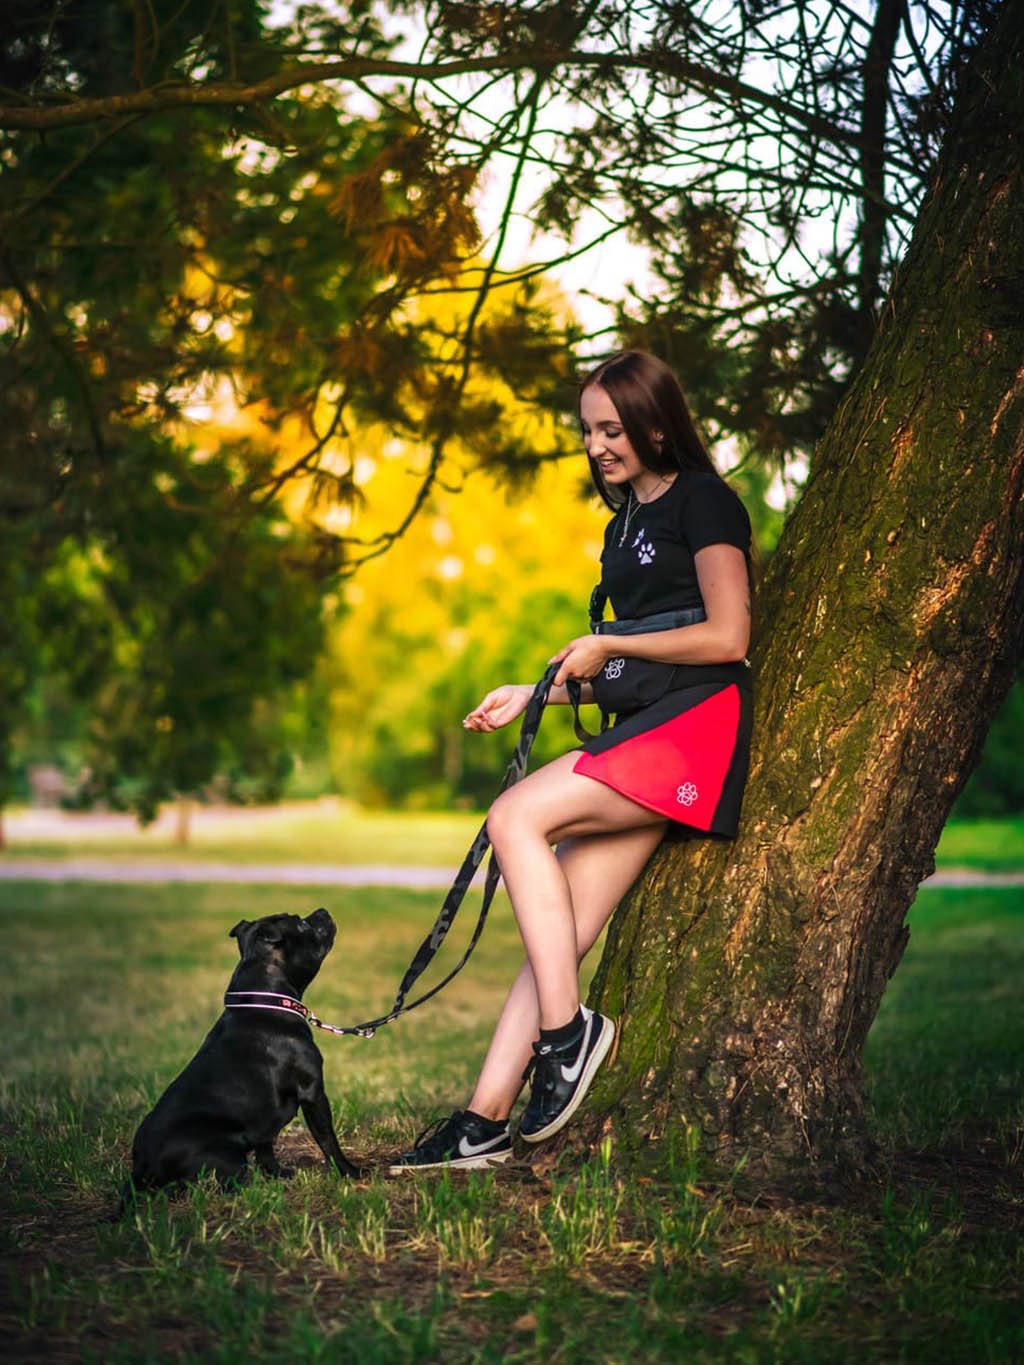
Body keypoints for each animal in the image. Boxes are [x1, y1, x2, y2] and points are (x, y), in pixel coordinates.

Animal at [126, 911, 363, 1201]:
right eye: (301, 923)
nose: (322, 911)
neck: (266, 1002)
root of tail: (142, 1167)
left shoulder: (265, 1120)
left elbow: (266, 1146)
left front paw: (277, 1175)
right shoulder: (313, 1092)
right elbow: (328, 1139)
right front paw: (350, 1172)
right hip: (227, 1154)